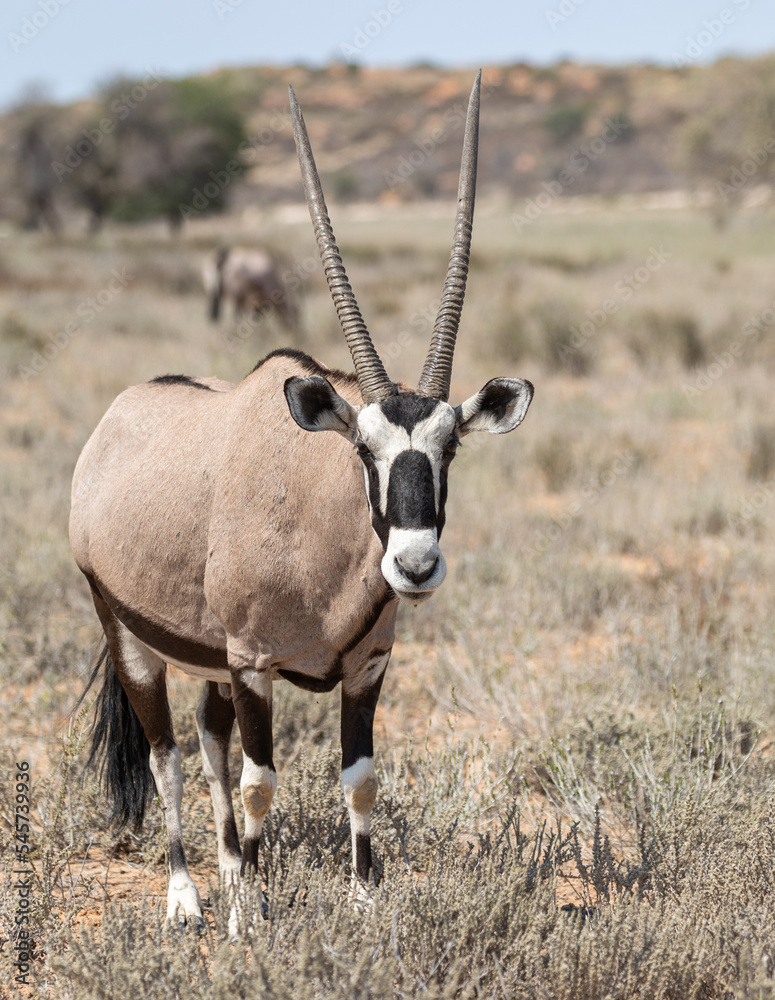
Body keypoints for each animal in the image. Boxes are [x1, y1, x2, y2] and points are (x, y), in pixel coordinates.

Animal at [71, 73, 533, 929]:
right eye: (361, 451)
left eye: (450, 447)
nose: (414, 566)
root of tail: (116, 418)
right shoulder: (256, 665)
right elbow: (261, 782)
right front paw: (249, 919)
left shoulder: (365, 667)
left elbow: (359, 779)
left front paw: (362, 903)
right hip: (126, 633)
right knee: (168, 755)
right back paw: (189, 897)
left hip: (211, 661)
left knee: (209, 739)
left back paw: (227, 872)